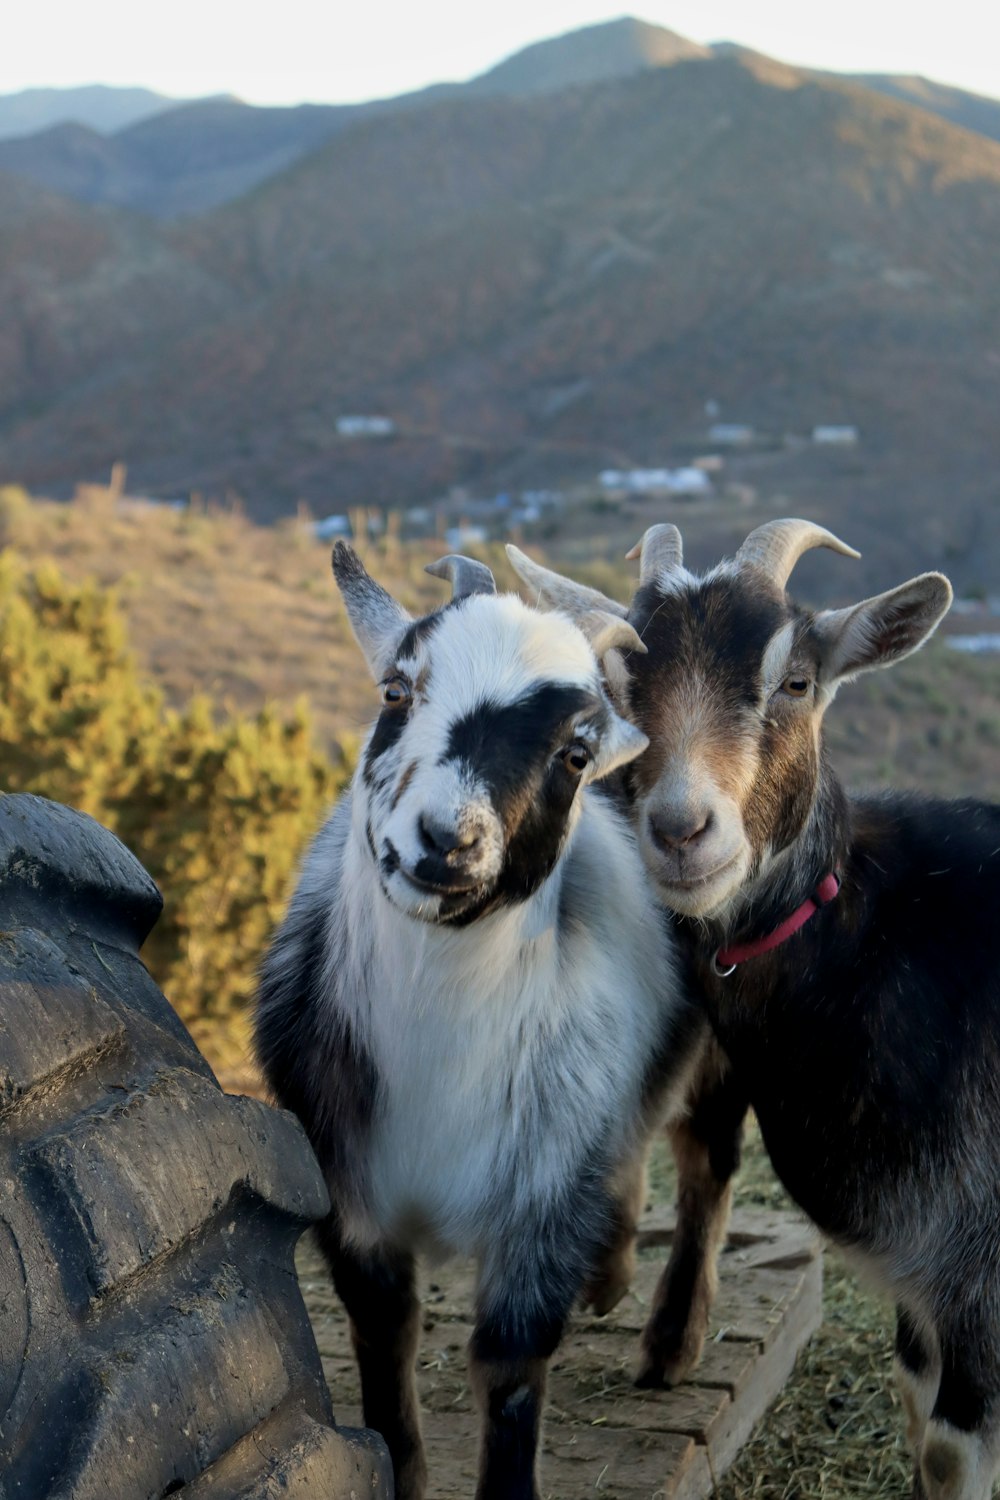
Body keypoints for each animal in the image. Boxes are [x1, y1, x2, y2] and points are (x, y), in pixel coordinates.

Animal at [254, 549, 701, 1500]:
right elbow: (385, 1330)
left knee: (689, 1160)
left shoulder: (544, 1191)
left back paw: (654, 1321)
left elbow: (511, 1364)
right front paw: (401, 1469)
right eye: (396, 689)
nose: (445, 840)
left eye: (574, 752)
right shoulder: (346, 1184)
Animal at [512, 525, 1000, 1500]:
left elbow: (949, 1447)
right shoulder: (925, 1281)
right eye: (620, 689)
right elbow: (916, 1410)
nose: (681, 831)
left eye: (797, 681)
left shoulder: (976, 1268)